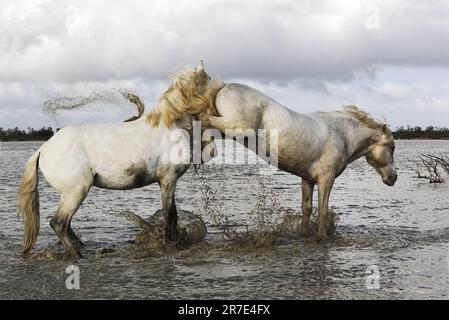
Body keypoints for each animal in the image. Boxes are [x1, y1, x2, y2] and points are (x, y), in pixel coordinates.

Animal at [18, 62, 223, 258]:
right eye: (208, 78)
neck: (169, 126)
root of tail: (43, 150)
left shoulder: (165, 181)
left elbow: (173, 214)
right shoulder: (168, 178)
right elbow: (169, 214)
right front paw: (170, 243)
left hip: (68, 194)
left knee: (65, 225)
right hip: (76, 192)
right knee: (59, 223)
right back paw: (78, 255)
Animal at [199, 82, 396, 240]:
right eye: (393, 147)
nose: (393, 178)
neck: (342, 134)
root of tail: (224, 86)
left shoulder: (307, 179)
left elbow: (306, 208)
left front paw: (303, 234)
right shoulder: (326, 178)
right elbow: (323, 209)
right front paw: (322, 237)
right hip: (235, 127)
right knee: (204, 118)